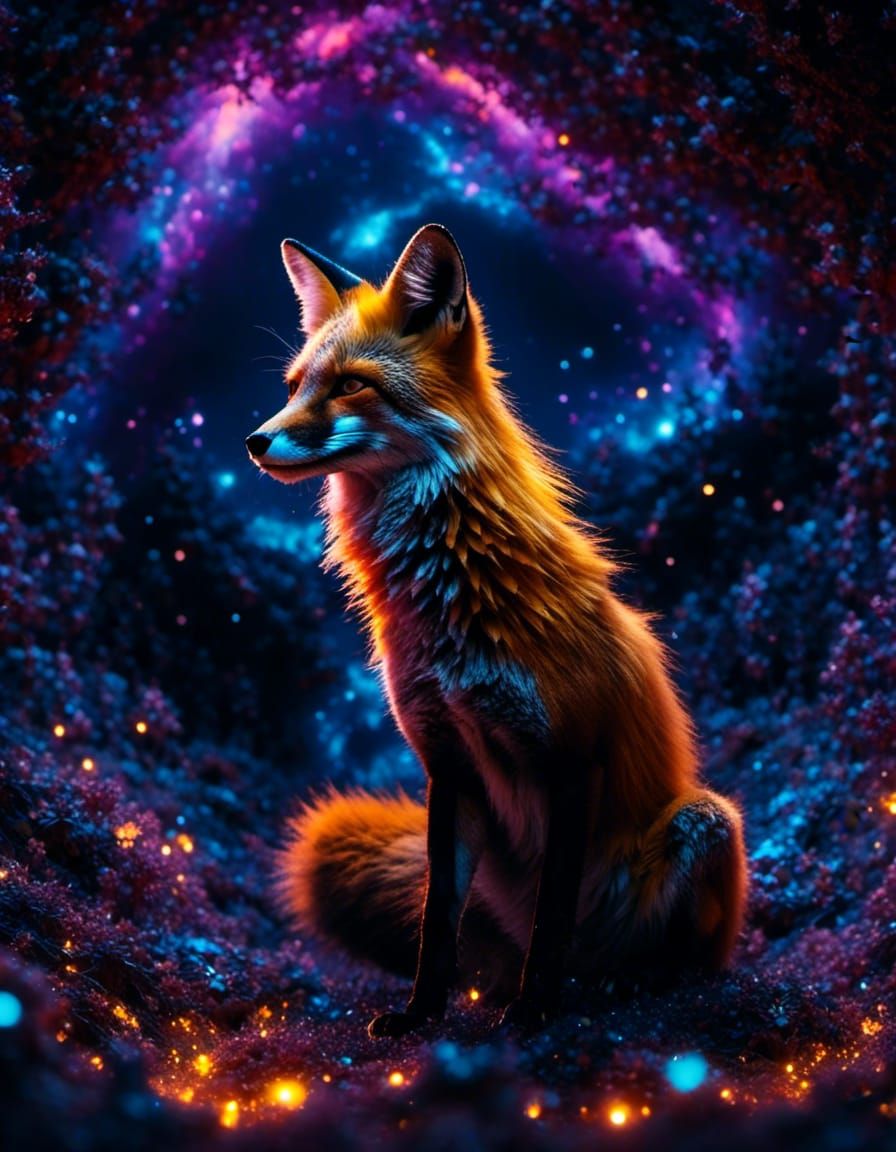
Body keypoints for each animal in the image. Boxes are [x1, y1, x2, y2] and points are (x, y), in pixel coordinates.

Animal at [246, 224, 747, 1036]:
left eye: (351, 385)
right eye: (293, 387)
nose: (255, 441)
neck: (453, 603)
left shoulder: (571, 762)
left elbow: (552, 916)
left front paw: (533, 1012)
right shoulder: (448, 766)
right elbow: (435, 923)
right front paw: (419, 1017)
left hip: (707, 823)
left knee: (680, 960)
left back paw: (634, 986)